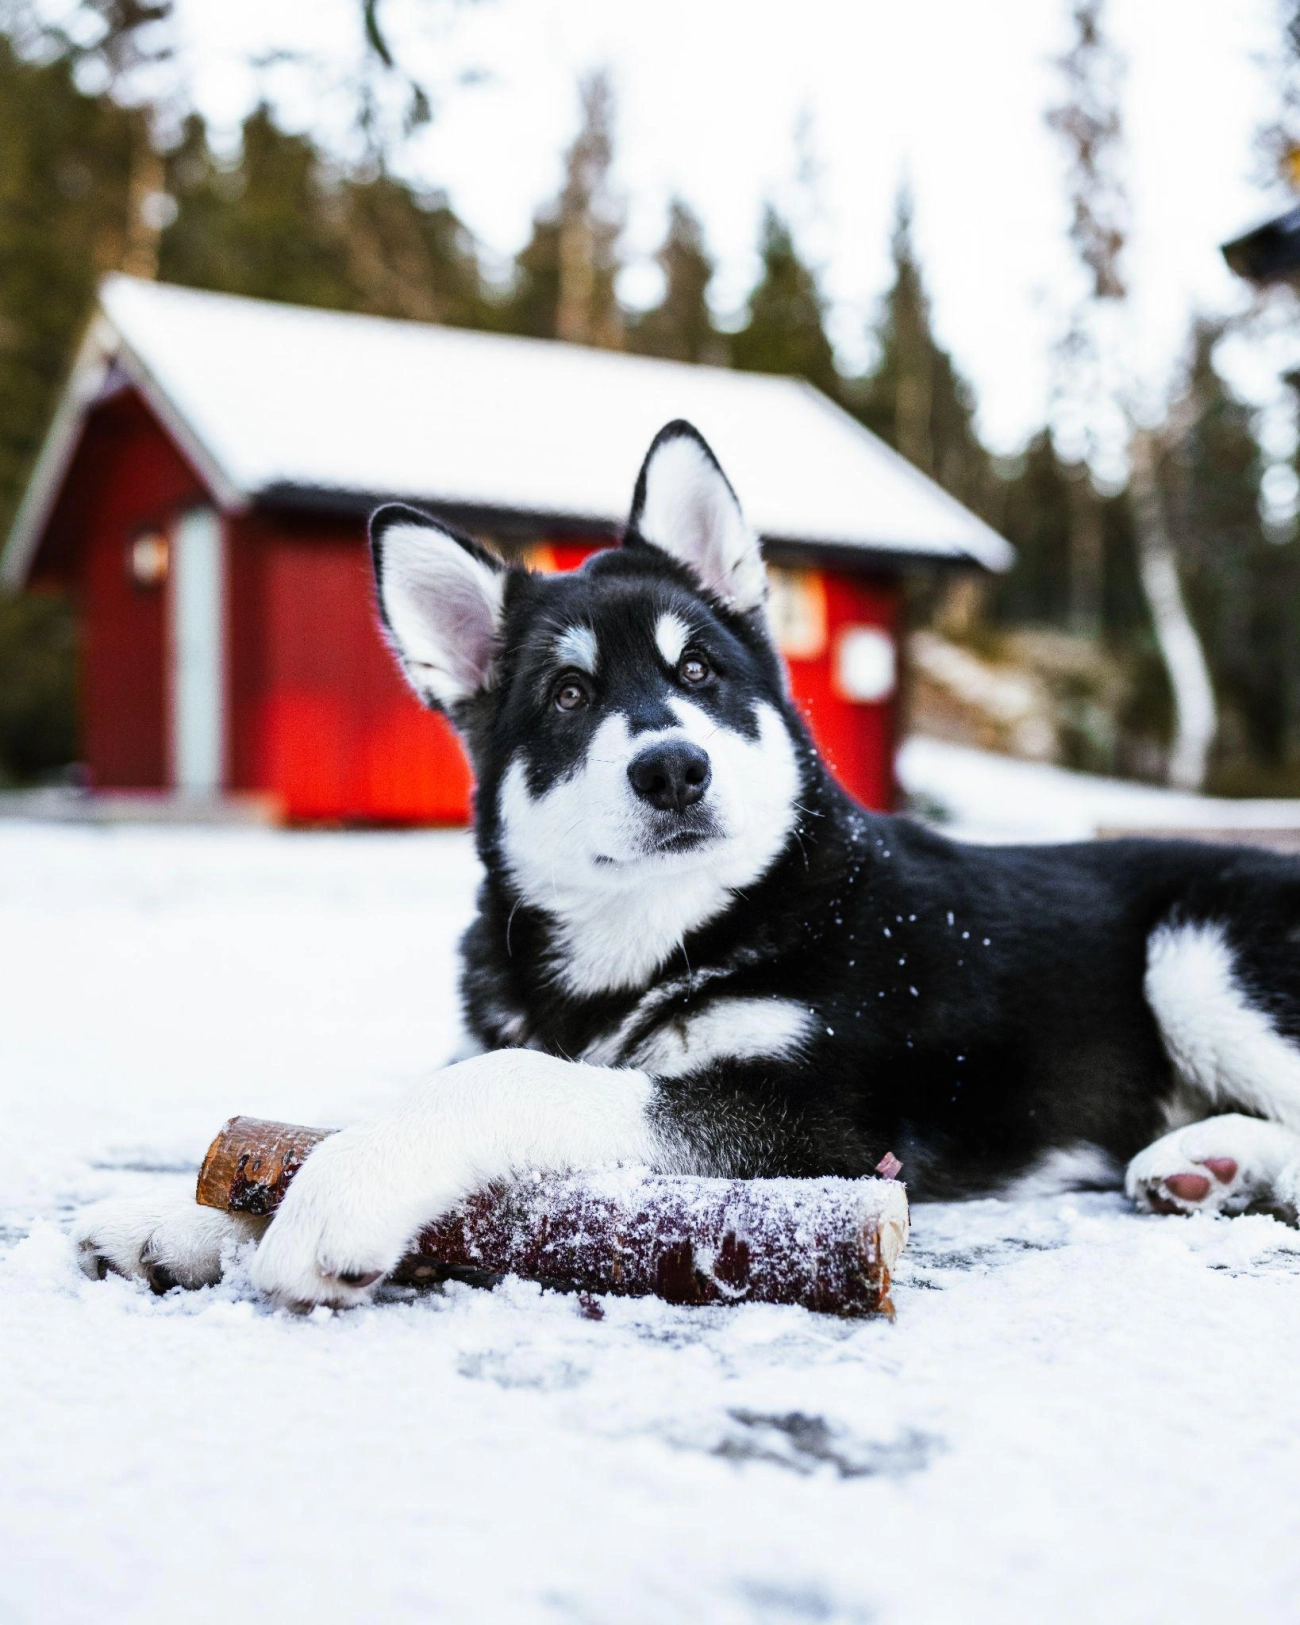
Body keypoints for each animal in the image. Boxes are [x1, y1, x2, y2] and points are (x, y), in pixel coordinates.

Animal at [78, 422, 1300, 1306]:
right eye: (569, 694)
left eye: (700, 670)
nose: (673, 767)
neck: (661, 937)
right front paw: (184, 1219)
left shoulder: (815, 1122)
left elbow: (515, 1079)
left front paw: (341, 1194)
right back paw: (1207, 1162)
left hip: (1201, 952)